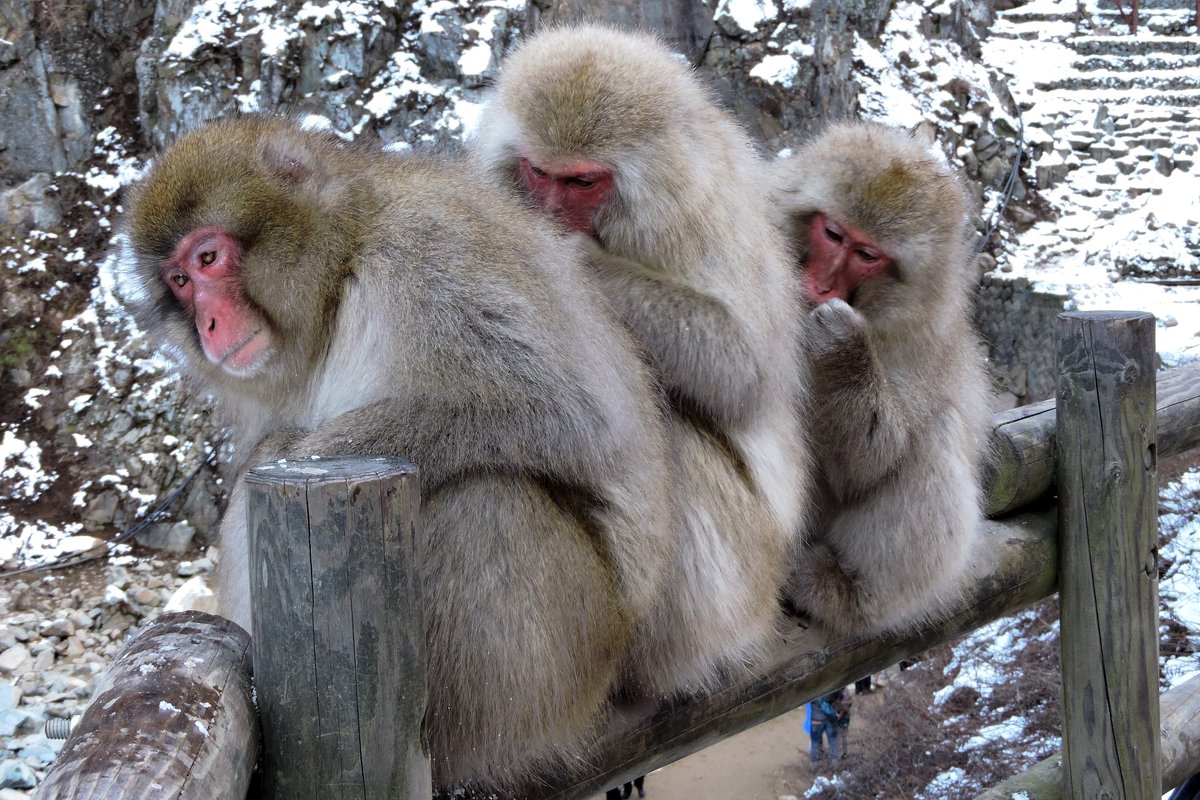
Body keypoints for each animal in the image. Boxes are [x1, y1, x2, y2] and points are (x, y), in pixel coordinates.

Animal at [124, 115, 686, 791]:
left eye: (209, 257)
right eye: (180, 282)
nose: (207, 323)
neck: (344, 265)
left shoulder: (427, 257)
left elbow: (566, 414)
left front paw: (309, 451)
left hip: (571, 667)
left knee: (484, 501)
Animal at [472, 25, 811, 695]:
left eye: (582, 183)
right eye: (537, 172)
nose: (546, 216)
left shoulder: (701, 214)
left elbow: (745, 370)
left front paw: (575, 259)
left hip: (748, 570)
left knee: (673, 428)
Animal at [772, 120, 988, 638]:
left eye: (867, 254)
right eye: (833, 233)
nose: (822, 285)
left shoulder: (921, 341)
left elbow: (869, 461)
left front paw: (842, 348)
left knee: (937, 433)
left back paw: (848, 594)